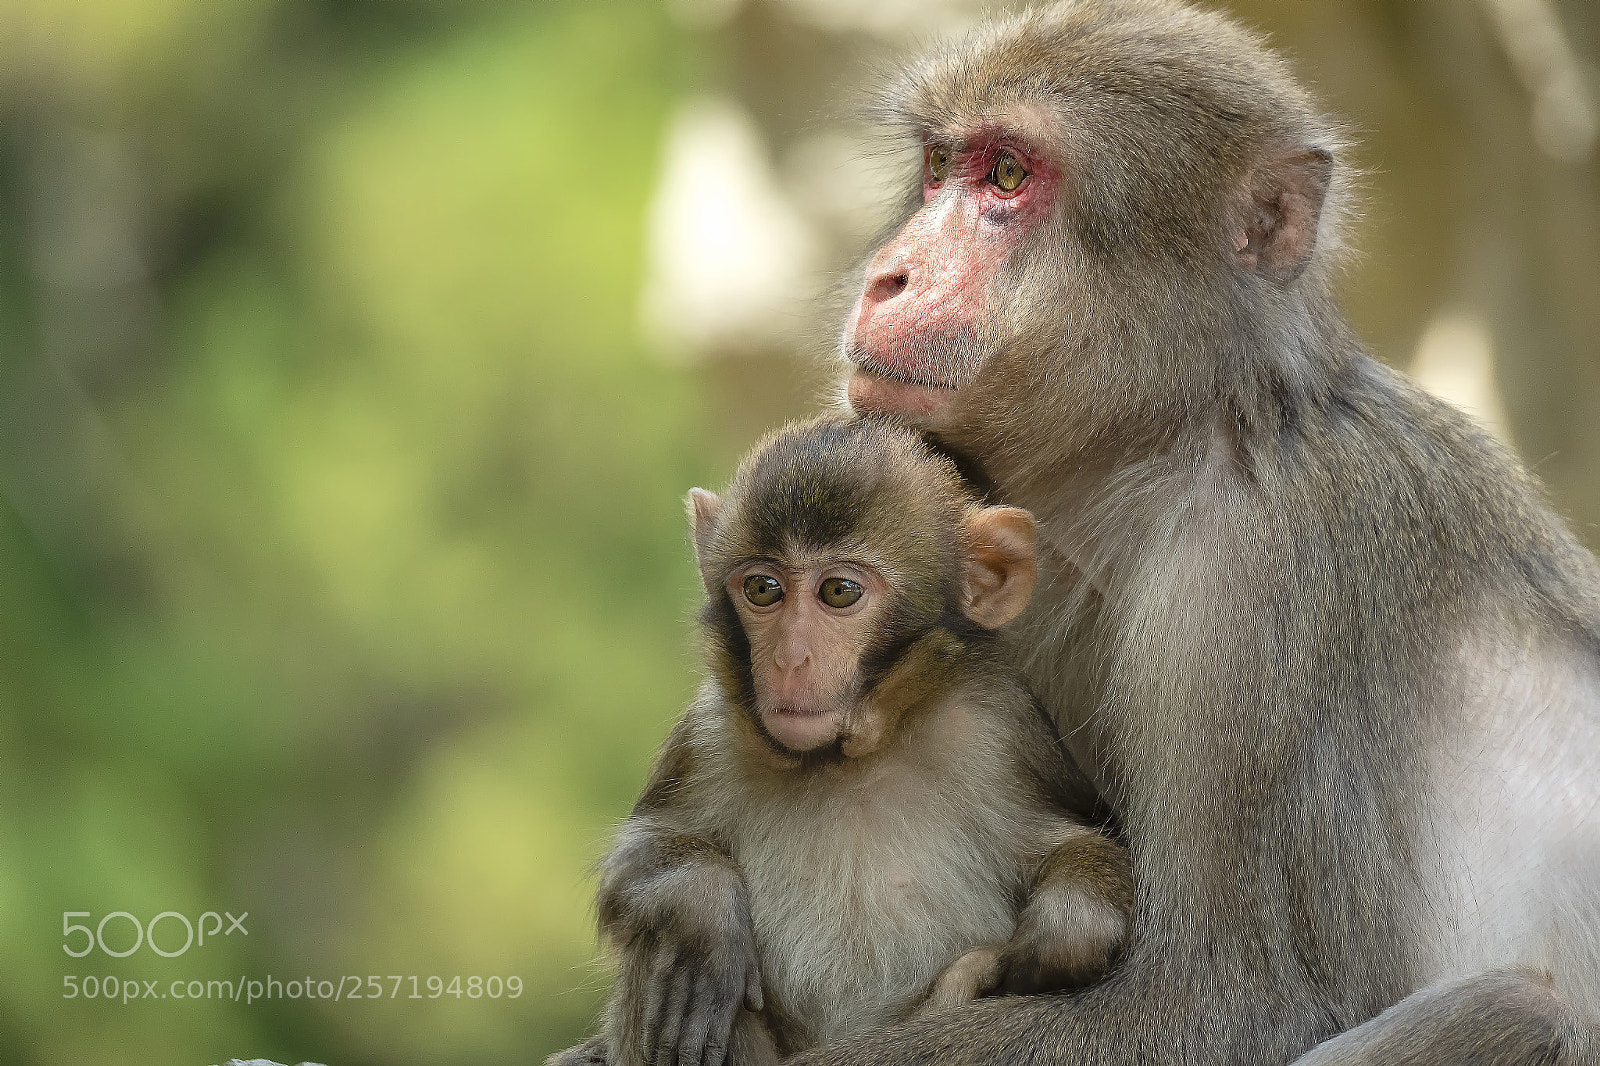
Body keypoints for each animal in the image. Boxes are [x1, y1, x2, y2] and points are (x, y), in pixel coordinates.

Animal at [547, 414, 1133, 1066]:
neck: (848, 757)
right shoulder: (710, 735)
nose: (789, 659)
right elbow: (640, 855)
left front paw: (1059, 933)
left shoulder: (1000, 734)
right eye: (763, 589)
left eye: (839, 592)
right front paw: (704, 913)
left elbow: (1076, 842)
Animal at [779, 2, 1600, 1065]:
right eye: (941, 164)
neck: (1179, 436)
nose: (890, 275)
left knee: (1516, 1011)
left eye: (1009, 177)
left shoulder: (1258, 576)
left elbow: (1222, 1003)